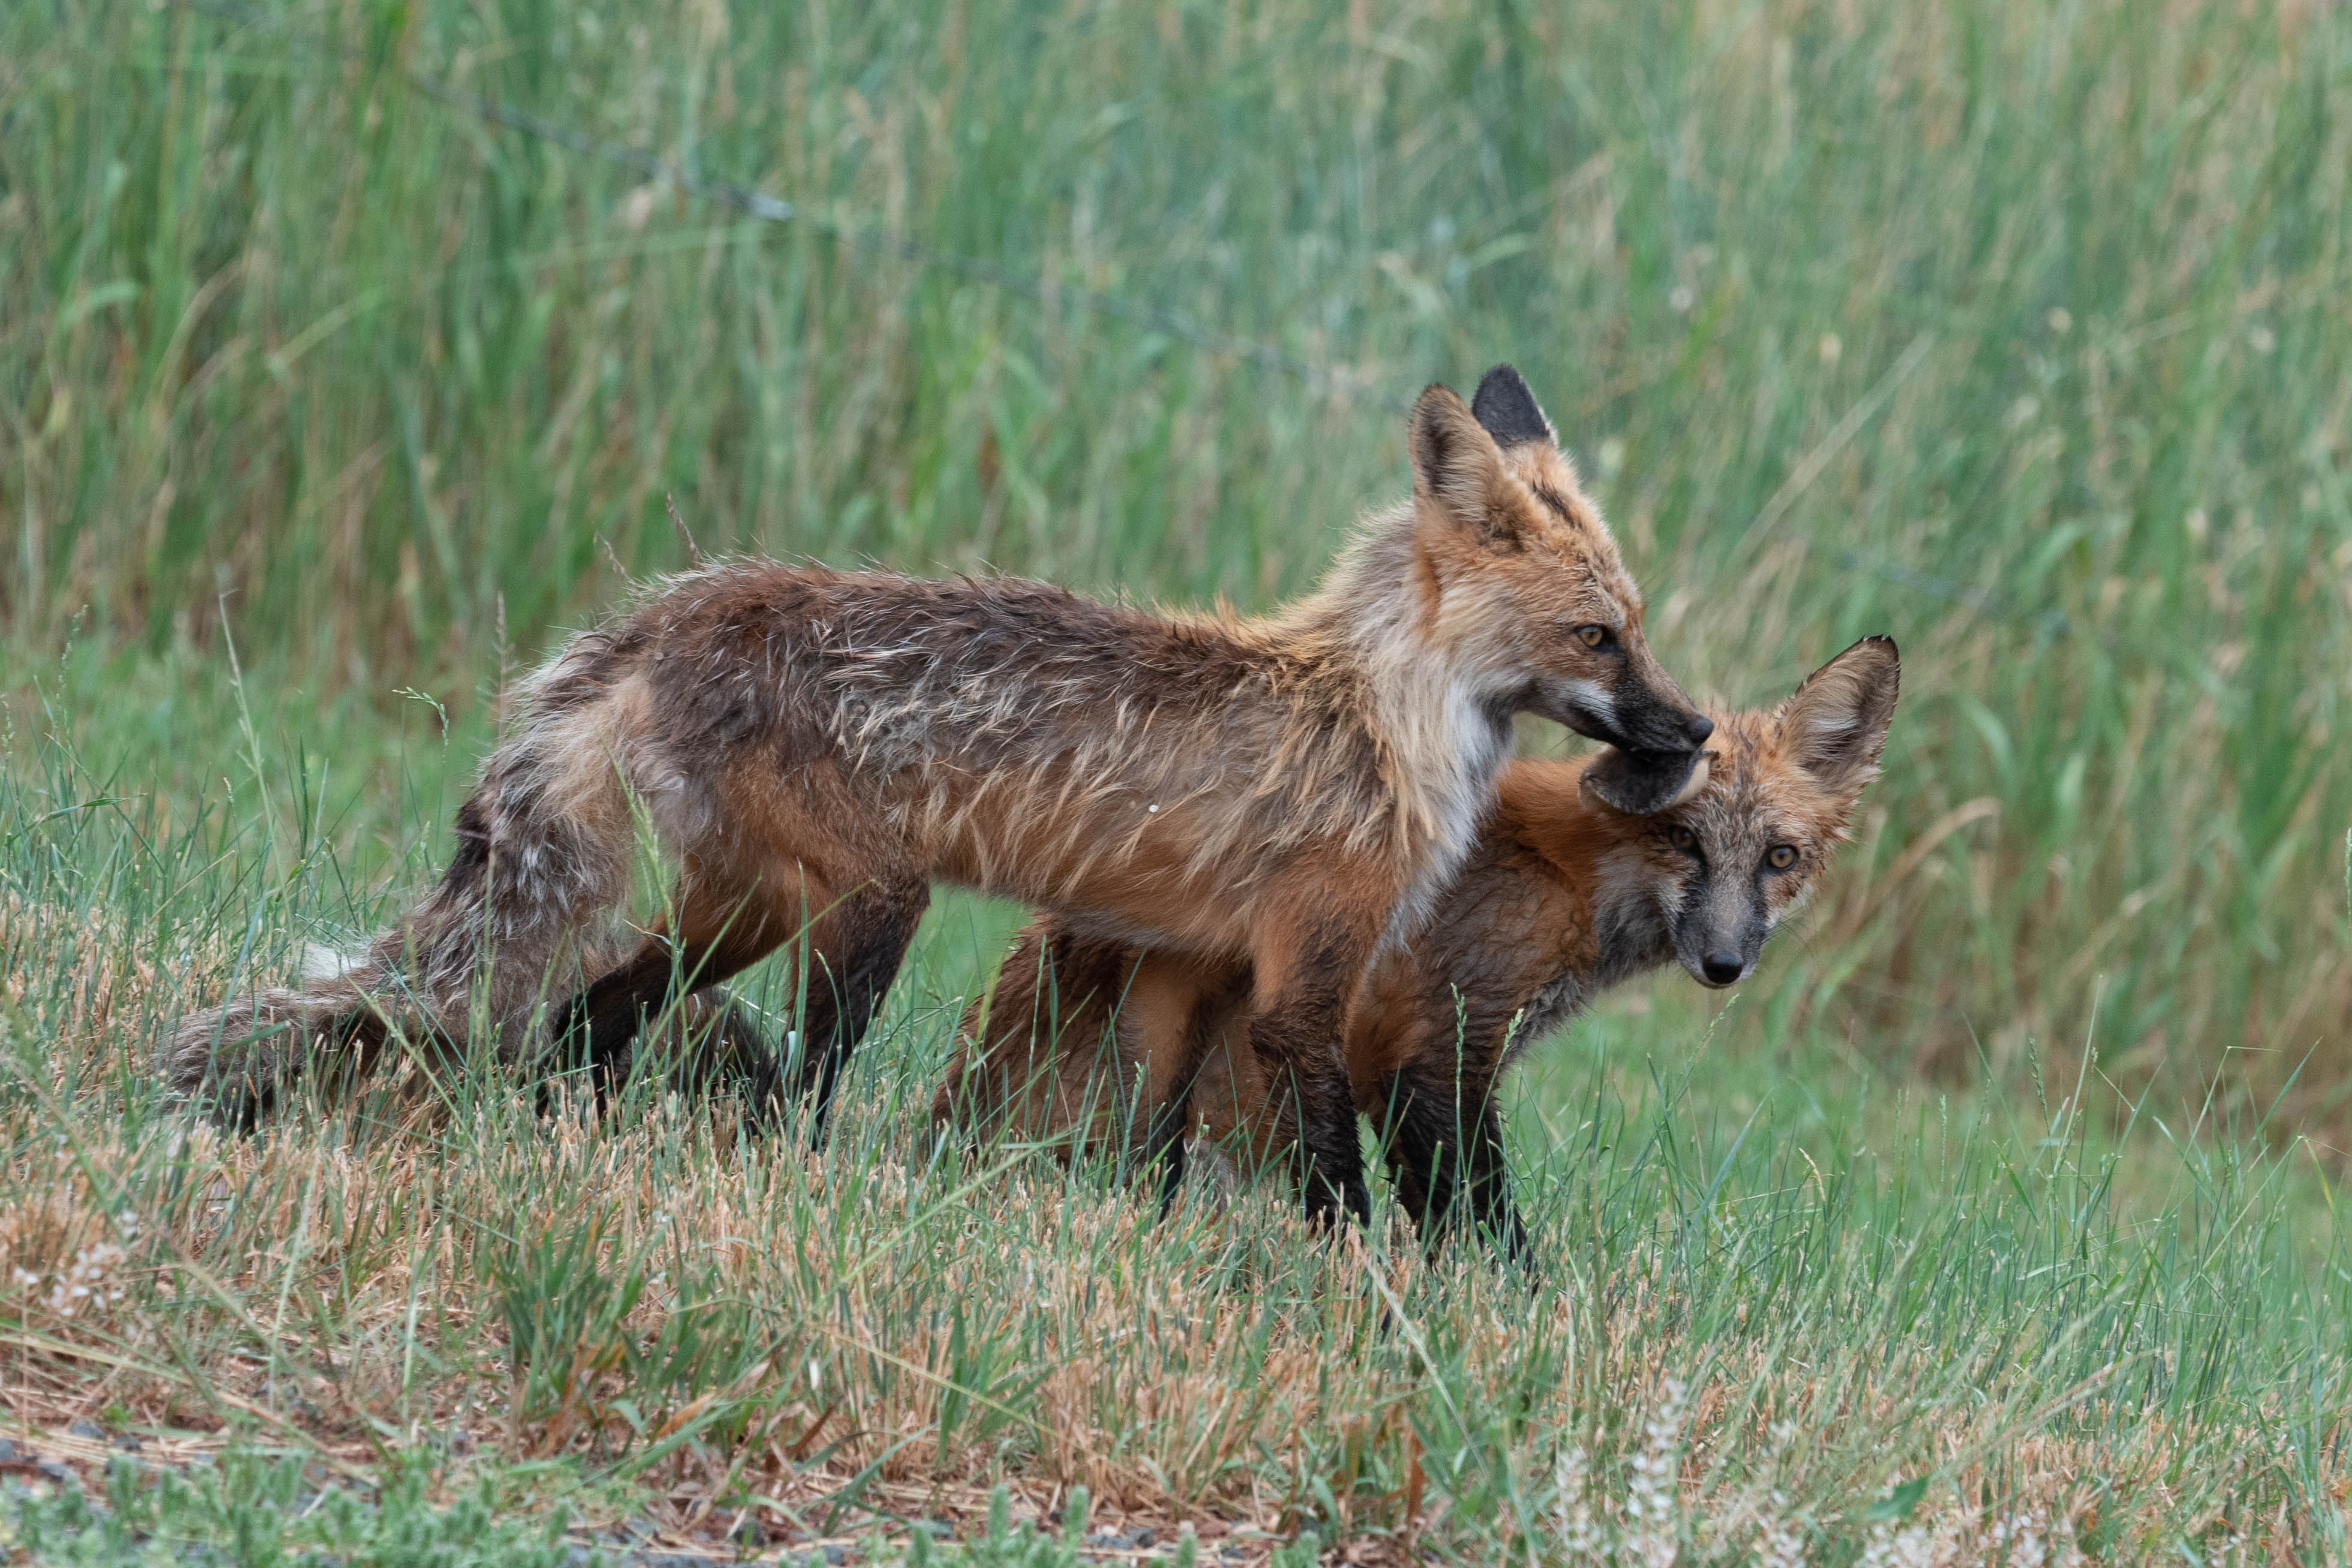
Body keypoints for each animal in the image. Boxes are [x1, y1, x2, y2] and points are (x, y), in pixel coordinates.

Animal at [162, 366, 1713, 1224]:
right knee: (784, 1082)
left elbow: (1154, 1131)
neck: (1377, 720)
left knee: (585, 1018)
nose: (1695, 729)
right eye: (1599, 639)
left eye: (1636, 626)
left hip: (744, 911)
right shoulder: (1302, 977)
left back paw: (563, 1139)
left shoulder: (1187, 962)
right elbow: (1333, 1168)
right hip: (869, 908)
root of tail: (681, 606)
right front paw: (1365, 1290)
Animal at [934, 636, 1898, 1255]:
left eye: (1780, 858)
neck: (1570, 875)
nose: (1725, 965)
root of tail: (939, 1129)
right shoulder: (1429, 1053)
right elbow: (1490, 1232)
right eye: (1683, 841)